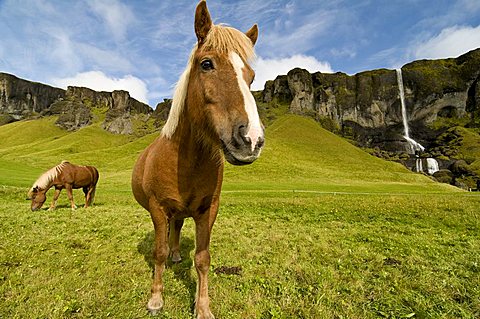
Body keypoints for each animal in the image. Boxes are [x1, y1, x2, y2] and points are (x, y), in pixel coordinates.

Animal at [132, 1, 262, 318]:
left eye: (251, 76)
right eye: (206, 64)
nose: (251, 139)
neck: (186, 160)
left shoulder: (208, 210)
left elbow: (203, 258)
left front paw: (202, 306)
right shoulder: (157, 208)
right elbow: (159, 252)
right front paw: (156, 298)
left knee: (177, 229)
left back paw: (179, 254)